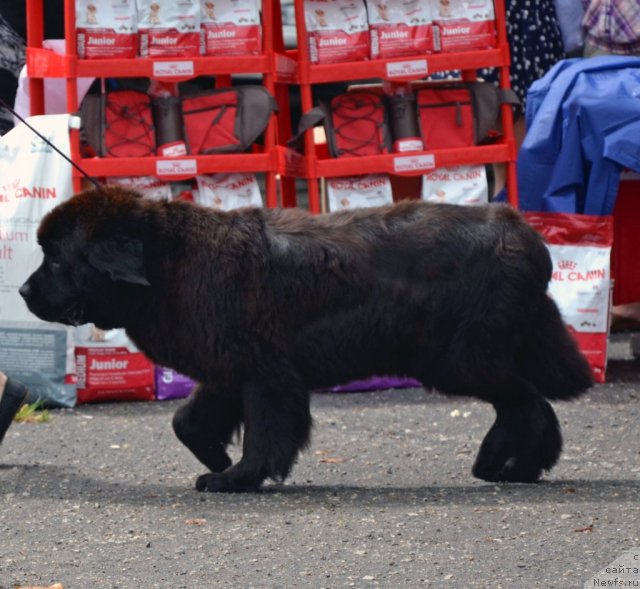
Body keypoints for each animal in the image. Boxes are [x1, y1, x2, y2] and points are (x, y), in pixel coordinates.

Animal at [18, 188, 592, 492]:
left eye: (56, 260)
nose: (22, 290)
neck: (171, 263)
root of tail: (522, 233)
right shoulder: (228, 368)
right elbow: (188, 421)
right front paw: (220, 463)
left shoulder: (265, 375)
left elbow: (266, 433)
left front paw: (240, 477)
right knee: (529, 404)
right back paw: (520, 466)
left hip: (456, 357)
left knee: (528, 403)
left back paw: (508, 464)